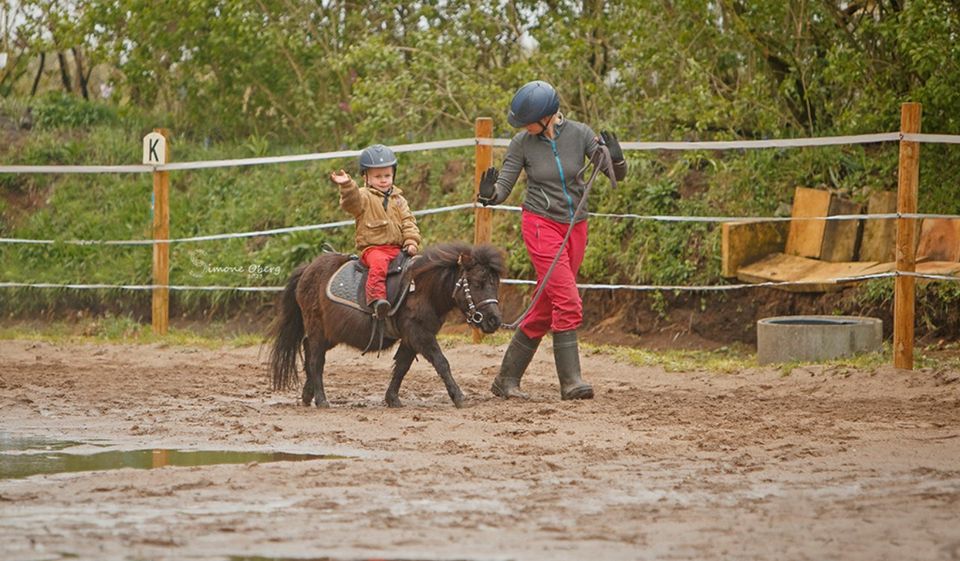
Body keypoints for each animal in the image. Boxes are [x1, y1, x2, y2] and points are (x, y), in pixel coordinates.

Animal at [262, 241, 502, 406]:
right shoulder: (420, 333)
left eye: (495, 283)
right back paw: (321, 400)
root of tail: (308, 269)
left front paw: (392, 398)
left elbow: (402, 366)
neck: (420, 289)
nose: (494, 320)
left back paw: (307, 394)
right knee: (315, 360)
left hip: (331, 333)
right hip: (318, 328)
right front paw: (459, 397)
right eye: (478, 283)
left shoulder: (411, 337)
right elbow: (441, 362)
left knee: (308, 349)